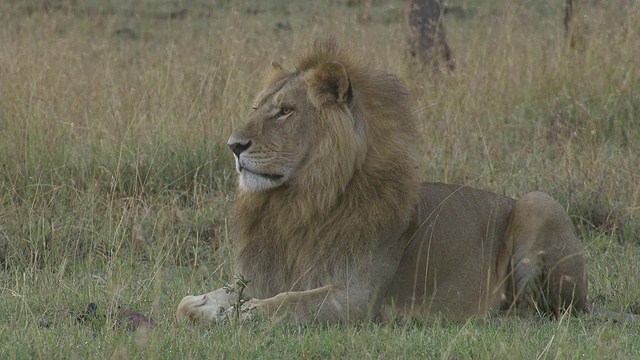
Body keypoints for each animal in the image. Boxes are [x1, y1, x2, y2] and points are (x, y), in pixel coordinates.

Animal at [176, 40, 636, 324]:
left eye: (285, 111)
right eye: (257, 106)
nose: (234, 146)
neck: (299, 203)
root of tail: (590, 303)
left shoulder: (357, 299)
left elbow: (281, 305)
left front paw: (240, 314)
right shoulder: (265, 276)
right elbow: (187, 303)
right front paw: (207, 307)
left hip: (538, 203)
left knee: (534, 312)